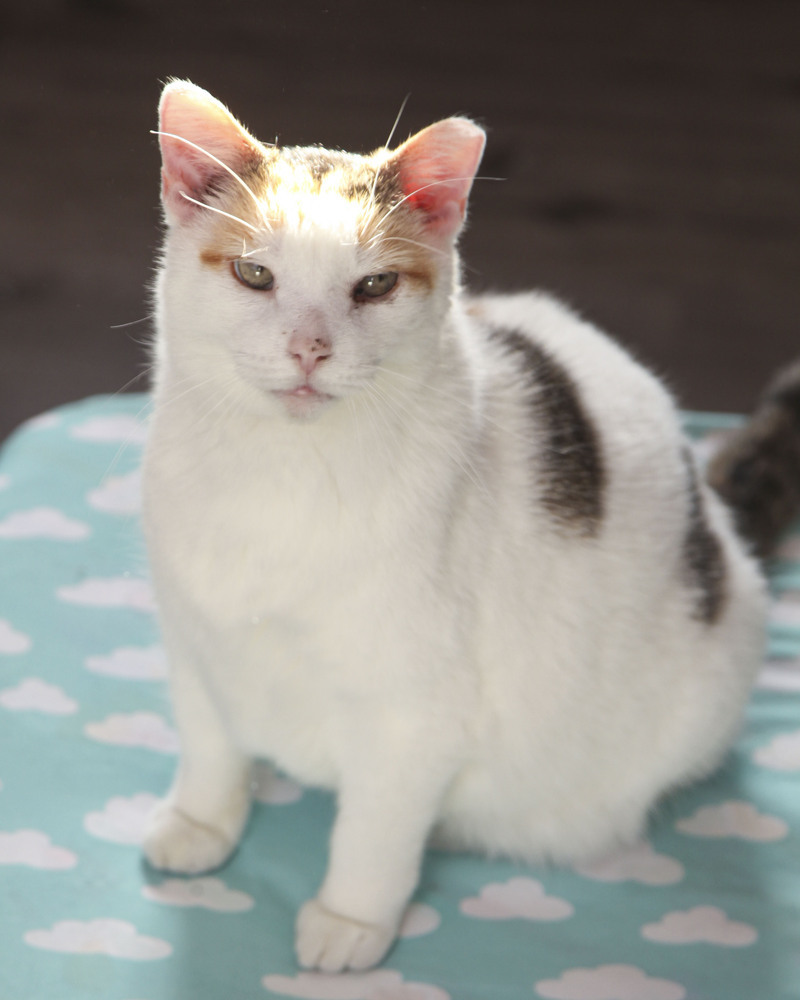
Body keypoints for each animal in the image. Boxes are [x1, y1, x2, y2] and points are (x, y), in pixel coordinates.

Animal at [141, 82, 800, 972]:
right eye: (254, 274)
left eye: (375, 287)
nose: (310, 348)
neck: (277, 477)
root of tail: (720, 530)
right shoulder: (194, 641)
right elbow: (210, 744)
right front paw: (203, 822)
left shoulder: (411, 714)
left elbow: (376, 827)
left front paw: (352, 918)